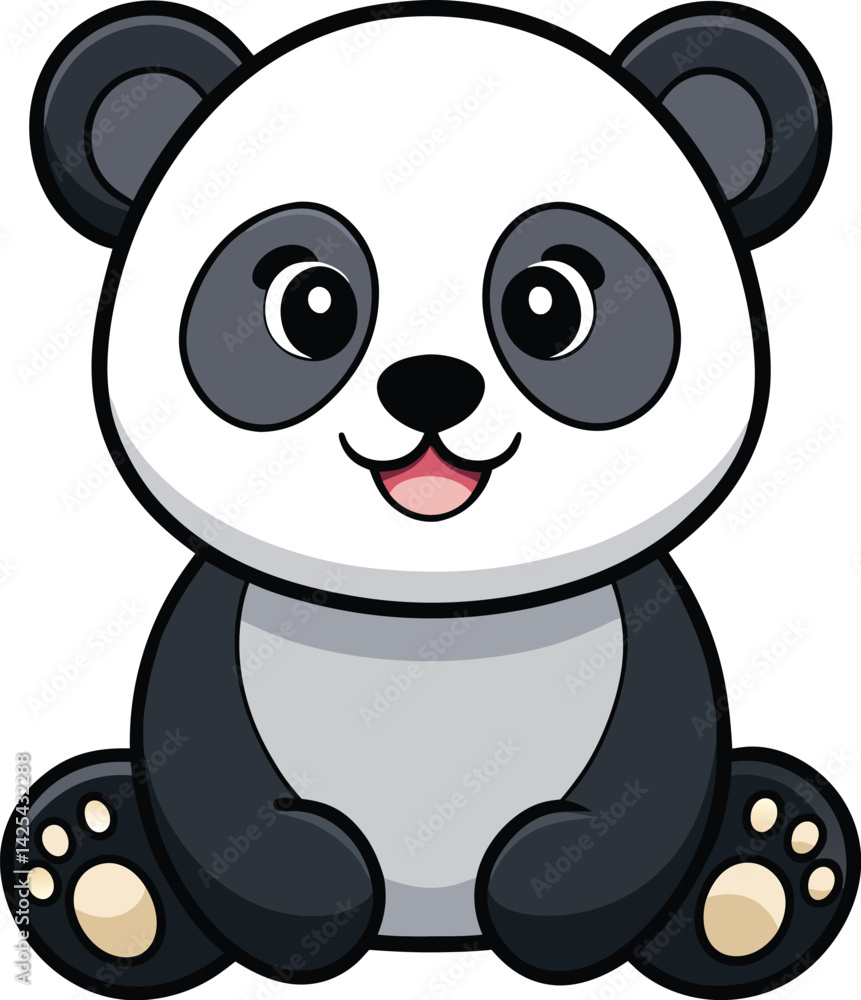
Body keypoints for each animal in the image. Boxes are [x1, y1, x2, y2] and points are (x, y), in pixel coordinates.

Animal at [4, 1, 858, 997]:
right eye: (311, 303)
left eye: (547, 303)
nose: (430, 386)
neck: (429, 613)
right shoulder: (224, 623)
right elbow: (210, 774)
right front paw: (318, 893)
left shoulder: (635, 622)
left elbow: (650, 781)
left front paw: (539, 894)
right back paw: (97, 870)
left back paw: (760, 872)